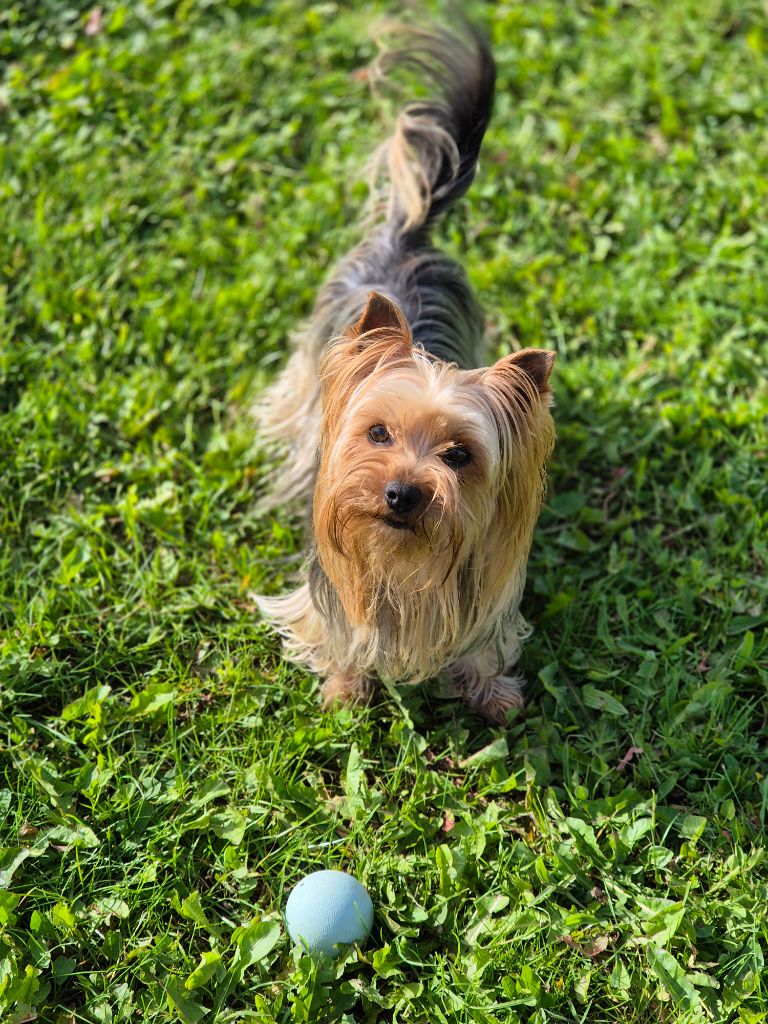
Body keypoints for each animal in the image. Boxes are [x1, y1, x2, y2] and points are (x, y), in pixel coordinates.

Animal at [256, 16, 557, 720]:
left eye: (459, 455)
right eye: (377, 434)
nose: (400, 493)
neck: (399, 558)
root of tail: (408, 234)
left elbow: (484, 645)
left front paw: (493, 694)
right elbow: (336, 633)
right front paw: (346, 688)